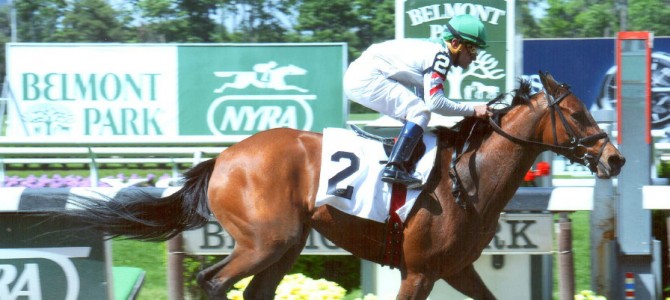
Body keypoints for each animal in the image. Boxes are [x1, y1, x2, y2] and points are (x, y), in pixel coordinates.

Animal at [59, 71, 624, 298]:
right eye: (577, 113)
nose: (616, 158)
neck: (469, 178)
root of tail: (223, 159)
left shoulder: (457, 269)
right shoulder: (419, 272)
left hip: (283, 244)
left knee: (251, 290)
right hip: (267, 241)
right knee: (214, 282)